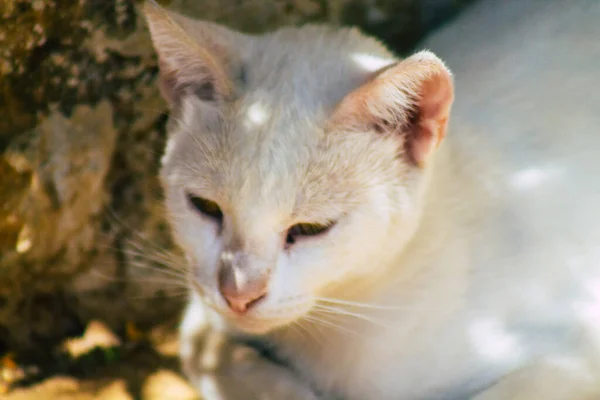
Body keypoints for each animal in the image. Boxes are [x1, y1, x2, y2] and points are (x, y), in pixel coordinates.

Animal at [143, 1, 596, 398]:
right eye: (205, 207)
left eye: (310, 229)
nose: (239, 295)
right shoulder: (202, 312)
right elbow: (210, 355)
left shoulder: (576, 349)